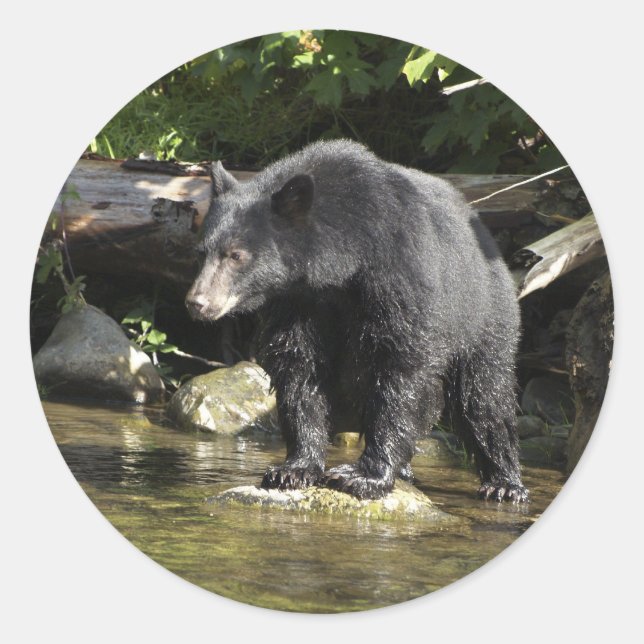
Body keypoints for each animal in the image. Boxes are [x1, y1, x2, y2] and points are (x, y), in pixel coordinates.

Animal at [186, 139, 528, 503]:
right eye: (200, 252)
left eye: (236, 255)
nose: (198, 303)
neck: (344, 262)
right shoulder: (299, 301)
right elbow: (298, 367)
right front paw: (294, 468)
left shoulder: (400, 275)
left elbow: (399, 369)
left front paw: (364, 476)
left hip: (482, 314)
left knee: (484, 395)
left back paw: (504, 483)